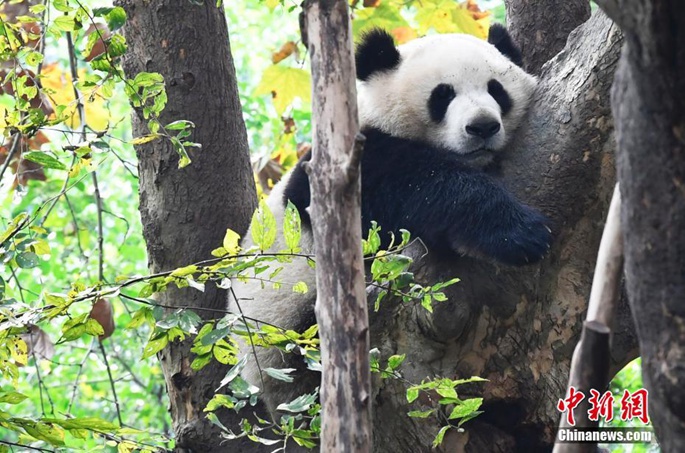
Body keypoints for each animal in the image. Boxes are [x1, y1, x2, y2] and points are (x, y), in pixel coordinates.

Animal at [230, 23, 552, 414]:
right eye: (442, 95)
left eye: (496, 89)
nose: (482, 126)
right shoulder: (344, 167)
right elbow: (410, 182)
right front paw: (519, 233)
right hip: (289, 333)